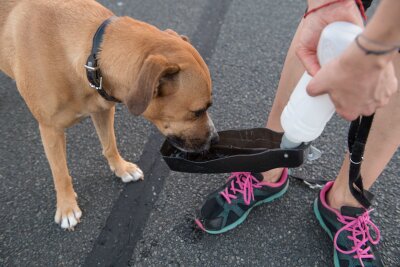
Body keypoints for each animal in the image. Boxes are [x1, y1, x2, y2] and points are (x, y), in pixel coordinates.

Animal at [0, 0, 217, 230]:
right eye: (197, 112)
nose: (215, 139)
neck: (89, 56)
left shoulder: (102, 108)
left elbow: (110, 144)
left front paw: (121, 169)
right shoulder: (50, 129)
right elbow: (60, 172)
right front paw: (66, 206)